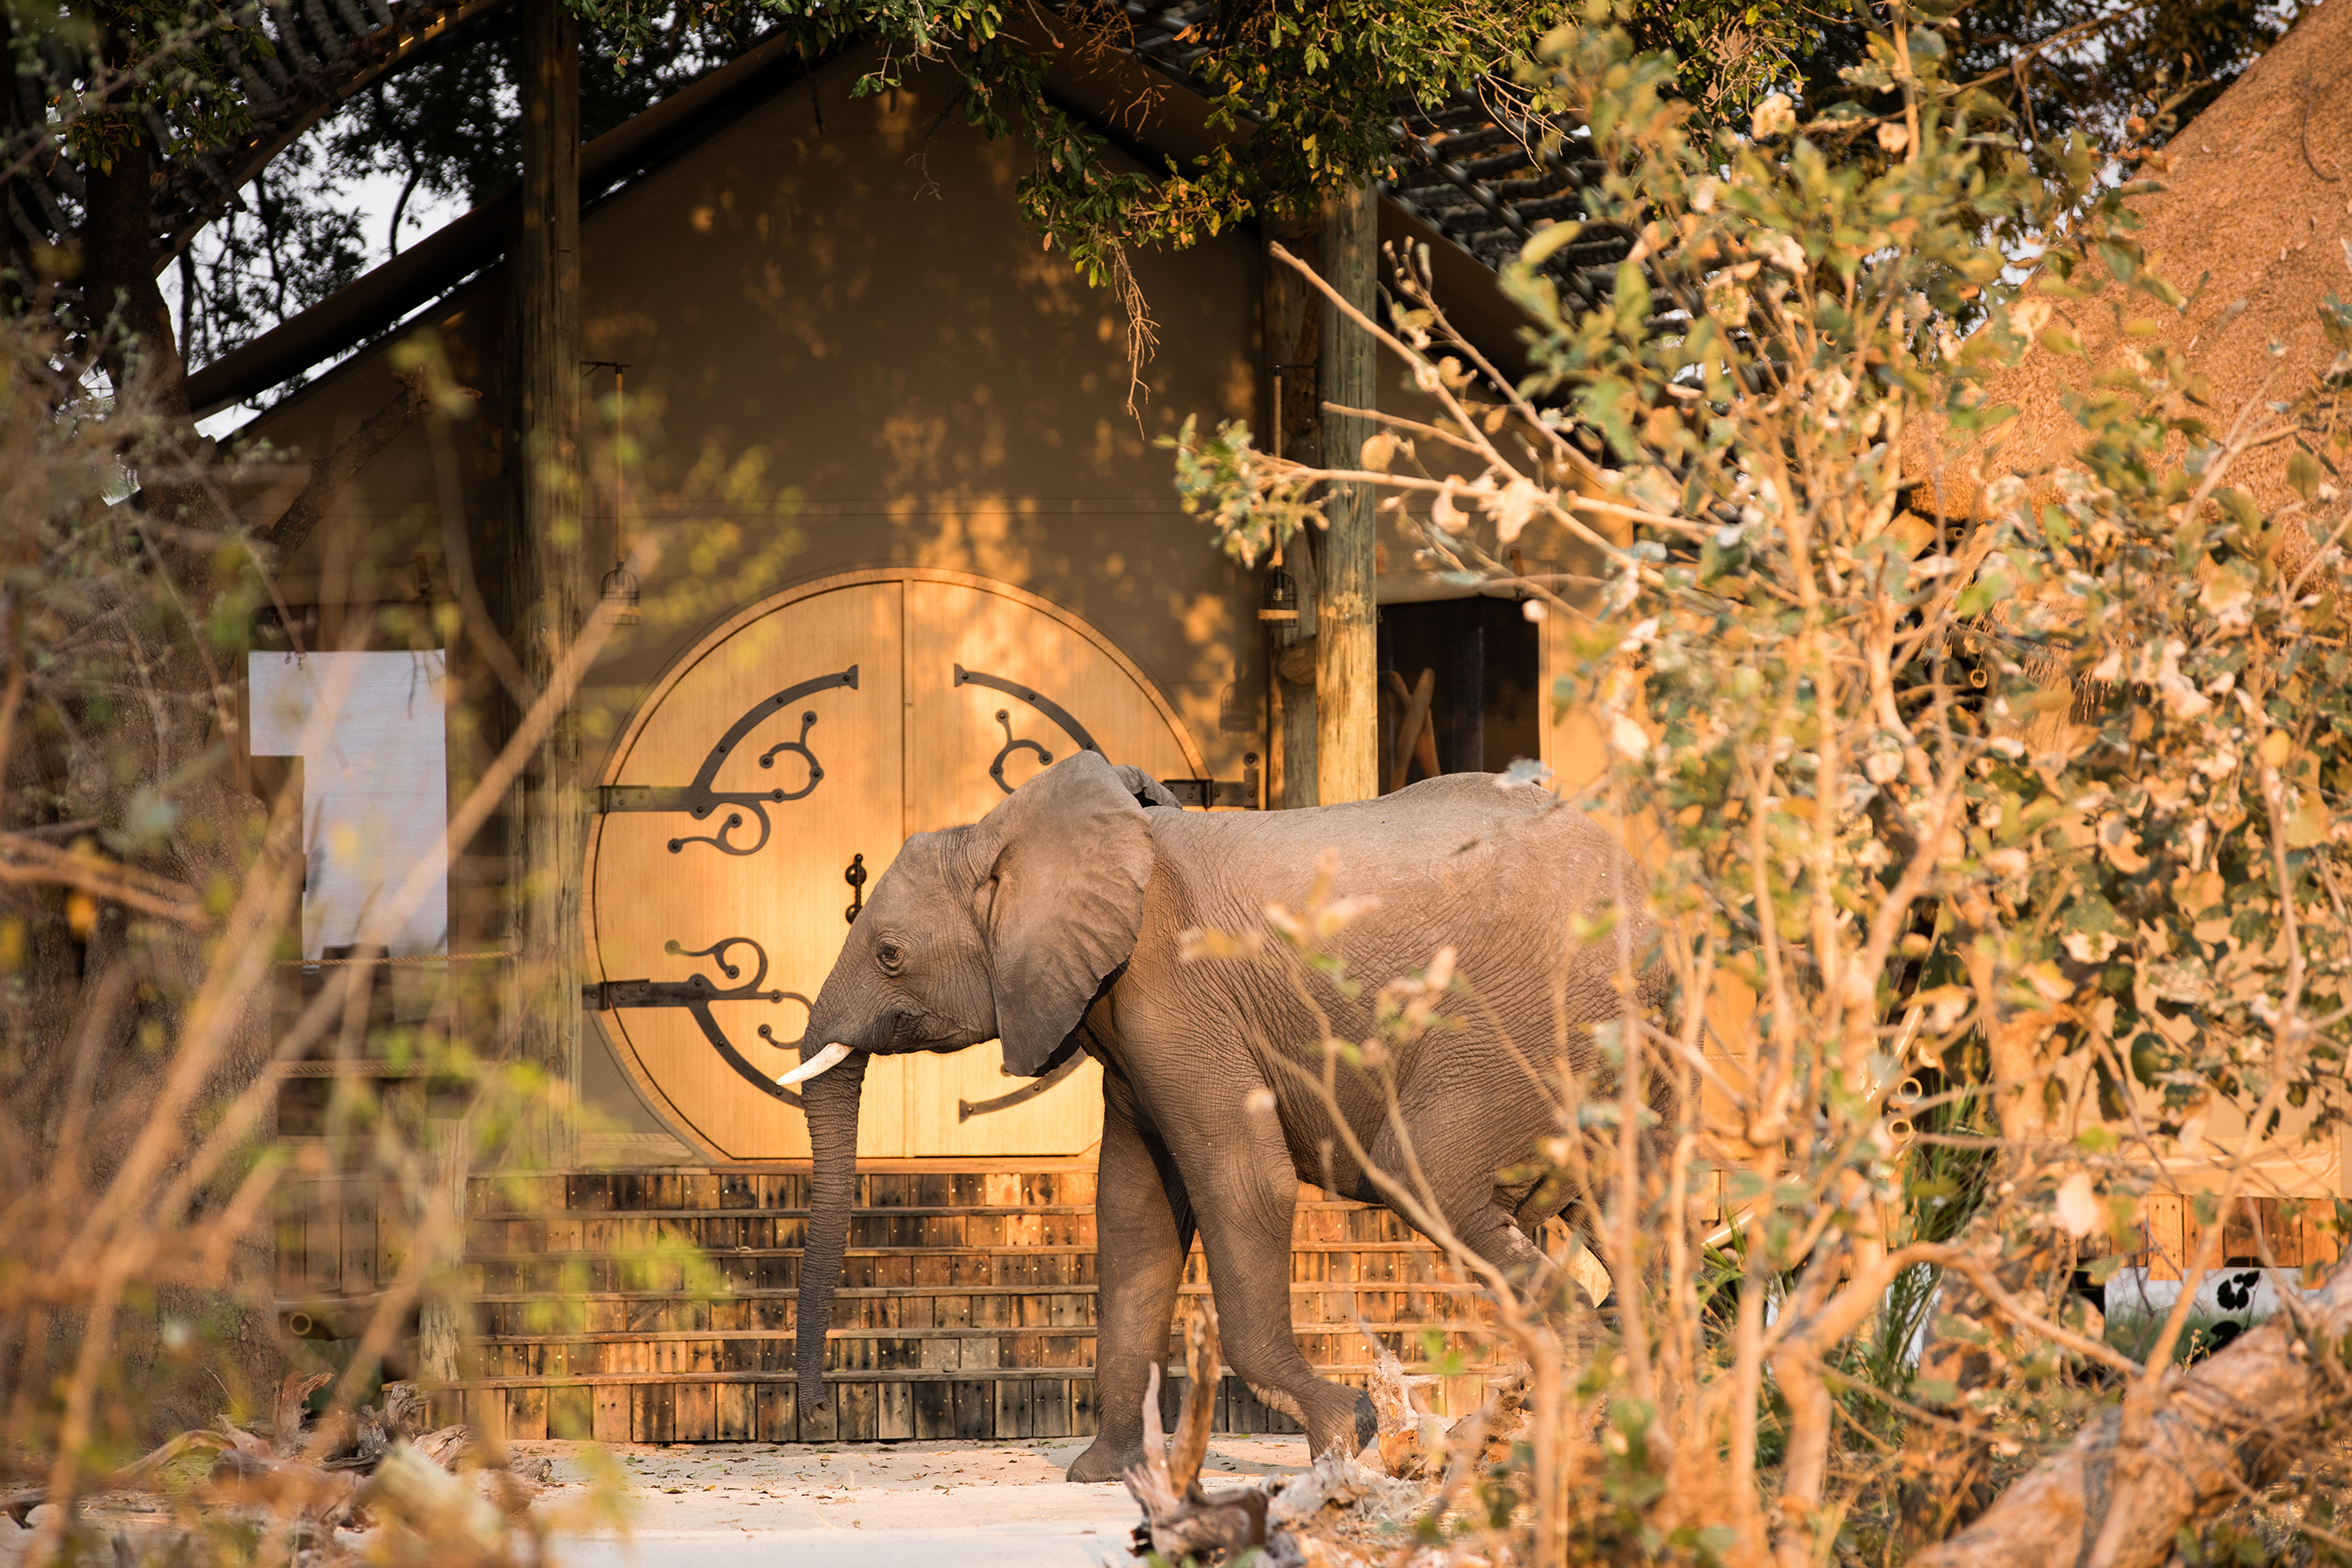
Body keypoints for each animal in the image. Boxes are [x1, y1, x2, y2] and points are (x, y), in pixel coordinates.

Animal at [782, 749, 1667, 1483]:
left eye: (890, 954)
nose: (817, 1409)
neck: (1007, 834)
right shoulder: (1128, 1024)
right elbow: (1133, 1212)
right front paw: (1107, 1477)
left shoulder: (1176, 994)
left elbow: (1244, 1184)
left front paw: (1346, 1434)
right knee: (1641, 1222)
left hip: (1530, 1026)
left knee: (1428, 1175)